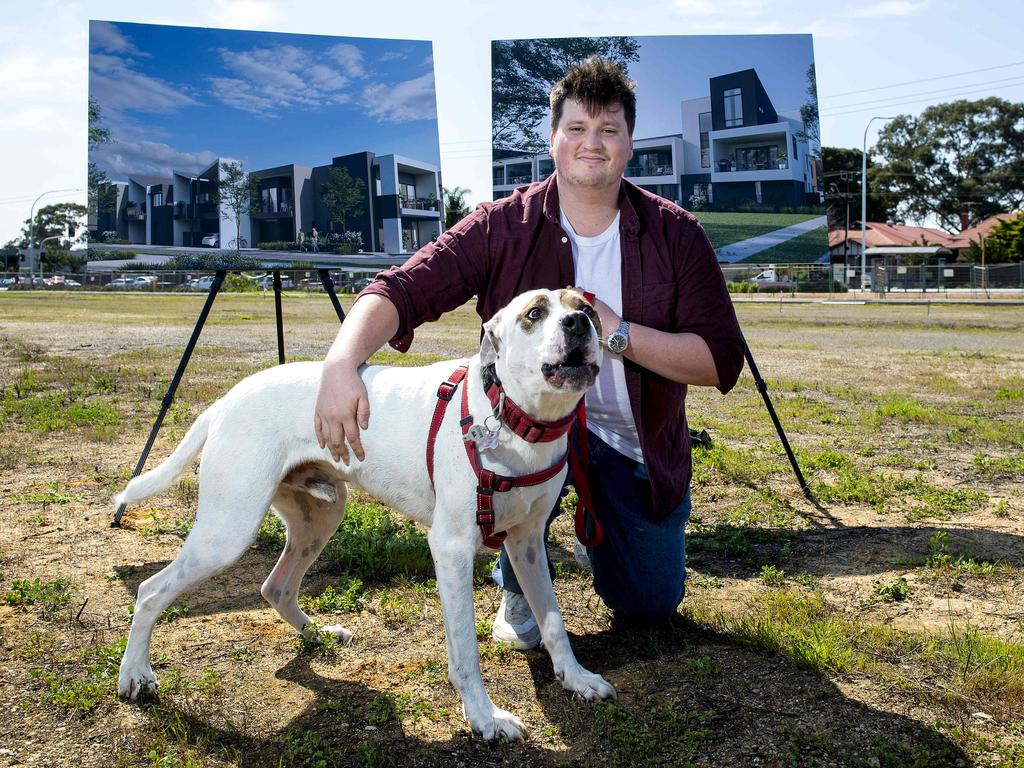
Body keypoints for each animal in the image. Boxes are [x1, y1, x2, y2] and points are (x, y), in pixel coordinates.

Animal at [117, 286, 614, 741]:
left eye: (587, 309)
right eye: (535, 313)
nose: (578, 324)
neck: (515, 419)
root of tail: (228, 398)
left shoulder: (527, 544)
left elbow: (554, 622)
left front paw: (577, 679)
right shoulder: (451, 549)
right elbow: (465, 650)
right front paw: (485, 718)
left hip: (319, 518)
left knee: (275, 586)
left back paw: (317, 634)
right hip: (226, 532)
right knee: (150, 590)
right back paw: (135, 676)